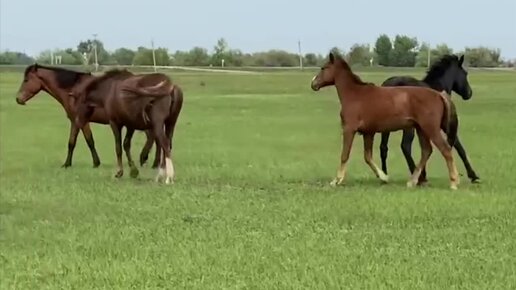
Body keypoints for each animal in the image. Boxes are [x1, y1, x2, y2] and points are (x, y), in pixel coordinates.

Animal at [14, 63, 161, 168]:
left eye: (26, 80)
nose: (18, 99)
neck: (73, 89)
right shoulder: (75, 121)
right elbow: (72, 142)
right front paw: (68, 164)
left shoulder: (81, 121)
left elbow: (88, 141)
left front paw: (95, 163)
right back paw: (152, 162)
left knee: (153, 137)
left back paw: (145, 159)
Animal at [310, 53, 460, 190]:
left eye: (323, 68)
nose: (313, 84)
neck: (354, 95)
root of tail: (439, 94)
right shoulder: (368, 133)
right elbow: (368, 157)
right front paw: (384, 177)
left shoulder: (349, 129)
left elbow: (344, 155)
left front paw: (336, 180)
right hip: (421, 129)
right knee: (426, 151)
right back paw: (412, 182)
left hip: (430, 129)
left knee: (445, 150)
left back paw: (453, 182)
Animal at [378, 55, 480, 184]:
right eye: (465, 73)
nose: (469, 93)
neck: (437, 88)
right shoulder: (443, 126)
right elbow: (459, 146)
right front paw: (473, 175)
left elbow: (426, 148)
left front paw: (424, 172)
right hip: (407, 126)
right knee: (405, 146)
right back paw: (418, 177)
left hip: (387, 126)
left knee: (383, 147)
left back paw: (384, 176)